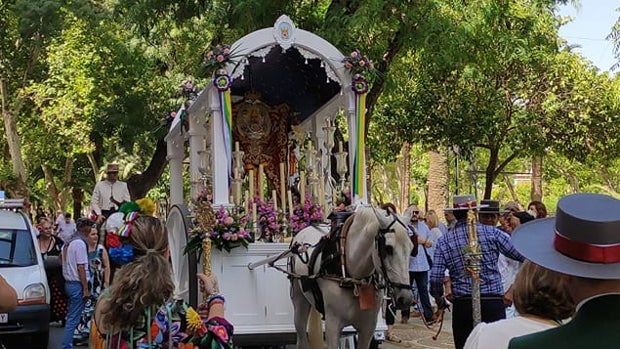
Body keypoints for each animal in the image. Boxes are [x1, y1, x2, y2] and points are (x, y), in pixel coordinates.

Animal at [290, 205, 414, 346]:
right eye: (388, 248)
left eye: (411, 248)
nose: (406, 298)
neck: (354, 279)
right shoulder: (332, 326)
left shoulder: (368, 328)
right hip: (299, 303)